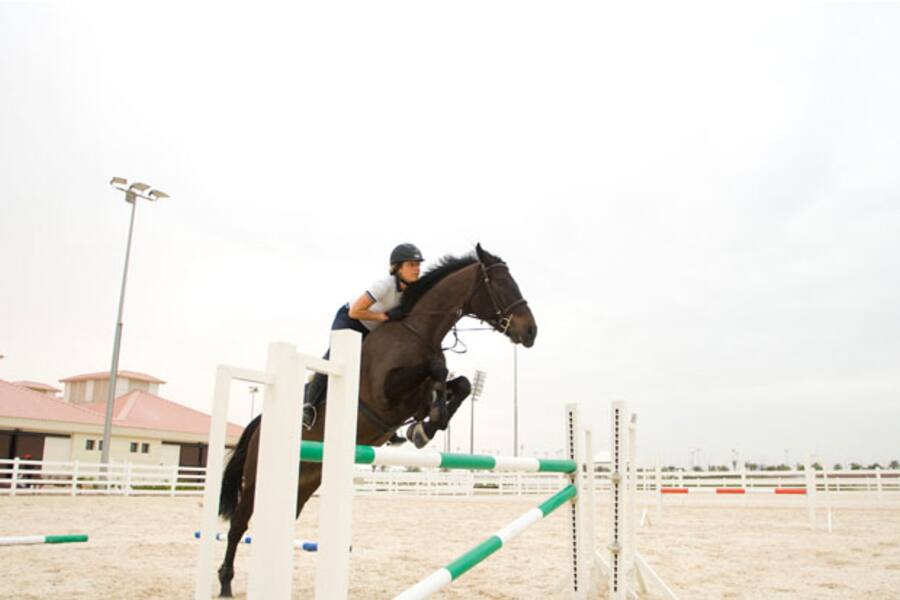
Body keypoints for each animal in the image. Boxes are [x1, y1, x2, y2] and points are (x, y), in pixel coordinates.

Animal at [214, 244, 537, 597]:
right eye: (501, 282)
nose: (531, 331)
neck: (418, 332)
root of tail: (260, 422)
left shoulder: (414, 399)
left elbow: (460, 383)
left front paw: (426, 427)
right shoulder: (386, 395)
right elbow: (438, 368)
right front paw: (428, 423)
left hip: (304, 481)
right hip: (258, 477)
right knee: (238, 525)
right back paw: (225, 583)